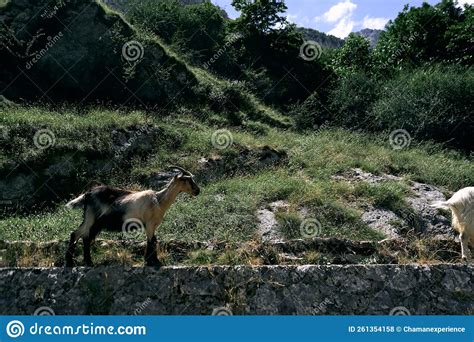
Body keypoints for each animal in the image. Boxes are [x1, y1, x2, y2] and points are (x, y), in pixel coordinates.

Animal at [64, 166, 199, 268]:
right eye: (188, 180)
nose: (198, 191)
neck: (158, 200)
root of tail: (87, 194)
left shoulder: (153, 225)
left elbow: (154, 240)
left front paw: (152, 261)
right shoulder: (149, 224)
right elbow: (151, 241)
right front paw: (152, 262)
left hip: (95, 223)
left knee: (83, 236)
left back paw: (83, 262)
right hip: (91, 218)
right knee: (78, 234)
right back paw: (75, 262)